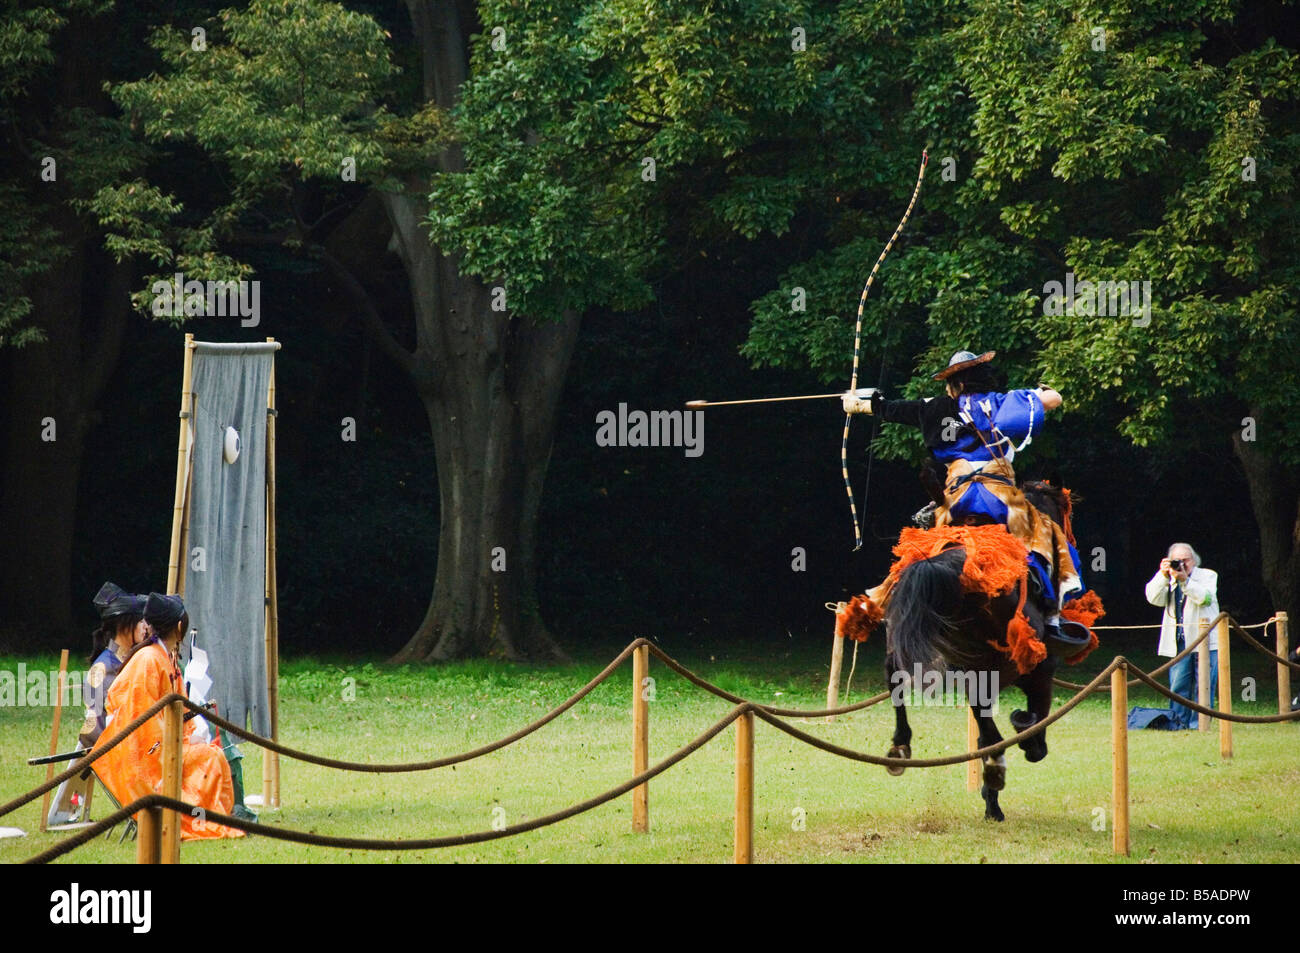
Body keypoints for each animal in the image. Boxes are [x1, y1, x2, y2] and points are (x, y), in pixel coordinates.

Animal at [883, 478, 1076, 821]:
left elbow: (985, 735)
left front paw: (991, 800)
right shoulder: (1040, 673)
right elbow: (1035, 728)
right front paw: (1025, 734)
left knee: (895, 676)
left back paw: (901, 746)